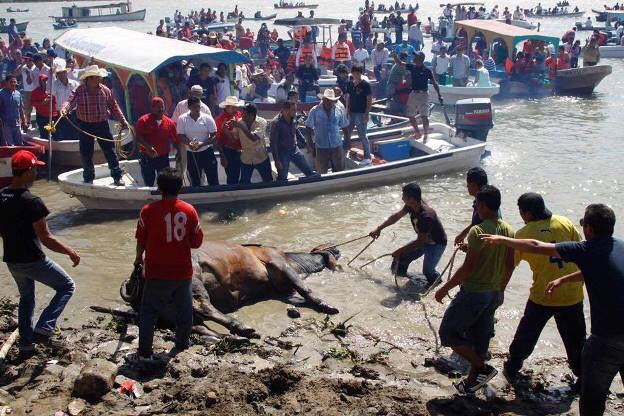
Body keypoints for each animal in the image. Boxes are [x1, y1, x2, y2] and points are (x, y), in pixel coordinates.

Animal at [119, 240, 338, 338]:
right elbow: (304, 288)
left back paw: (216, 336)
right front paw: (325, 305)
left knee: (191, 323)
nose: (338, 250)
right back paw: (240, 327)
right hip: (194, 283)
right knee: (204, 307)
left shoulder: (278, 290)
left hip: (168, 310)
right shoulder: (279, 264)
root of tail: (138, 273)